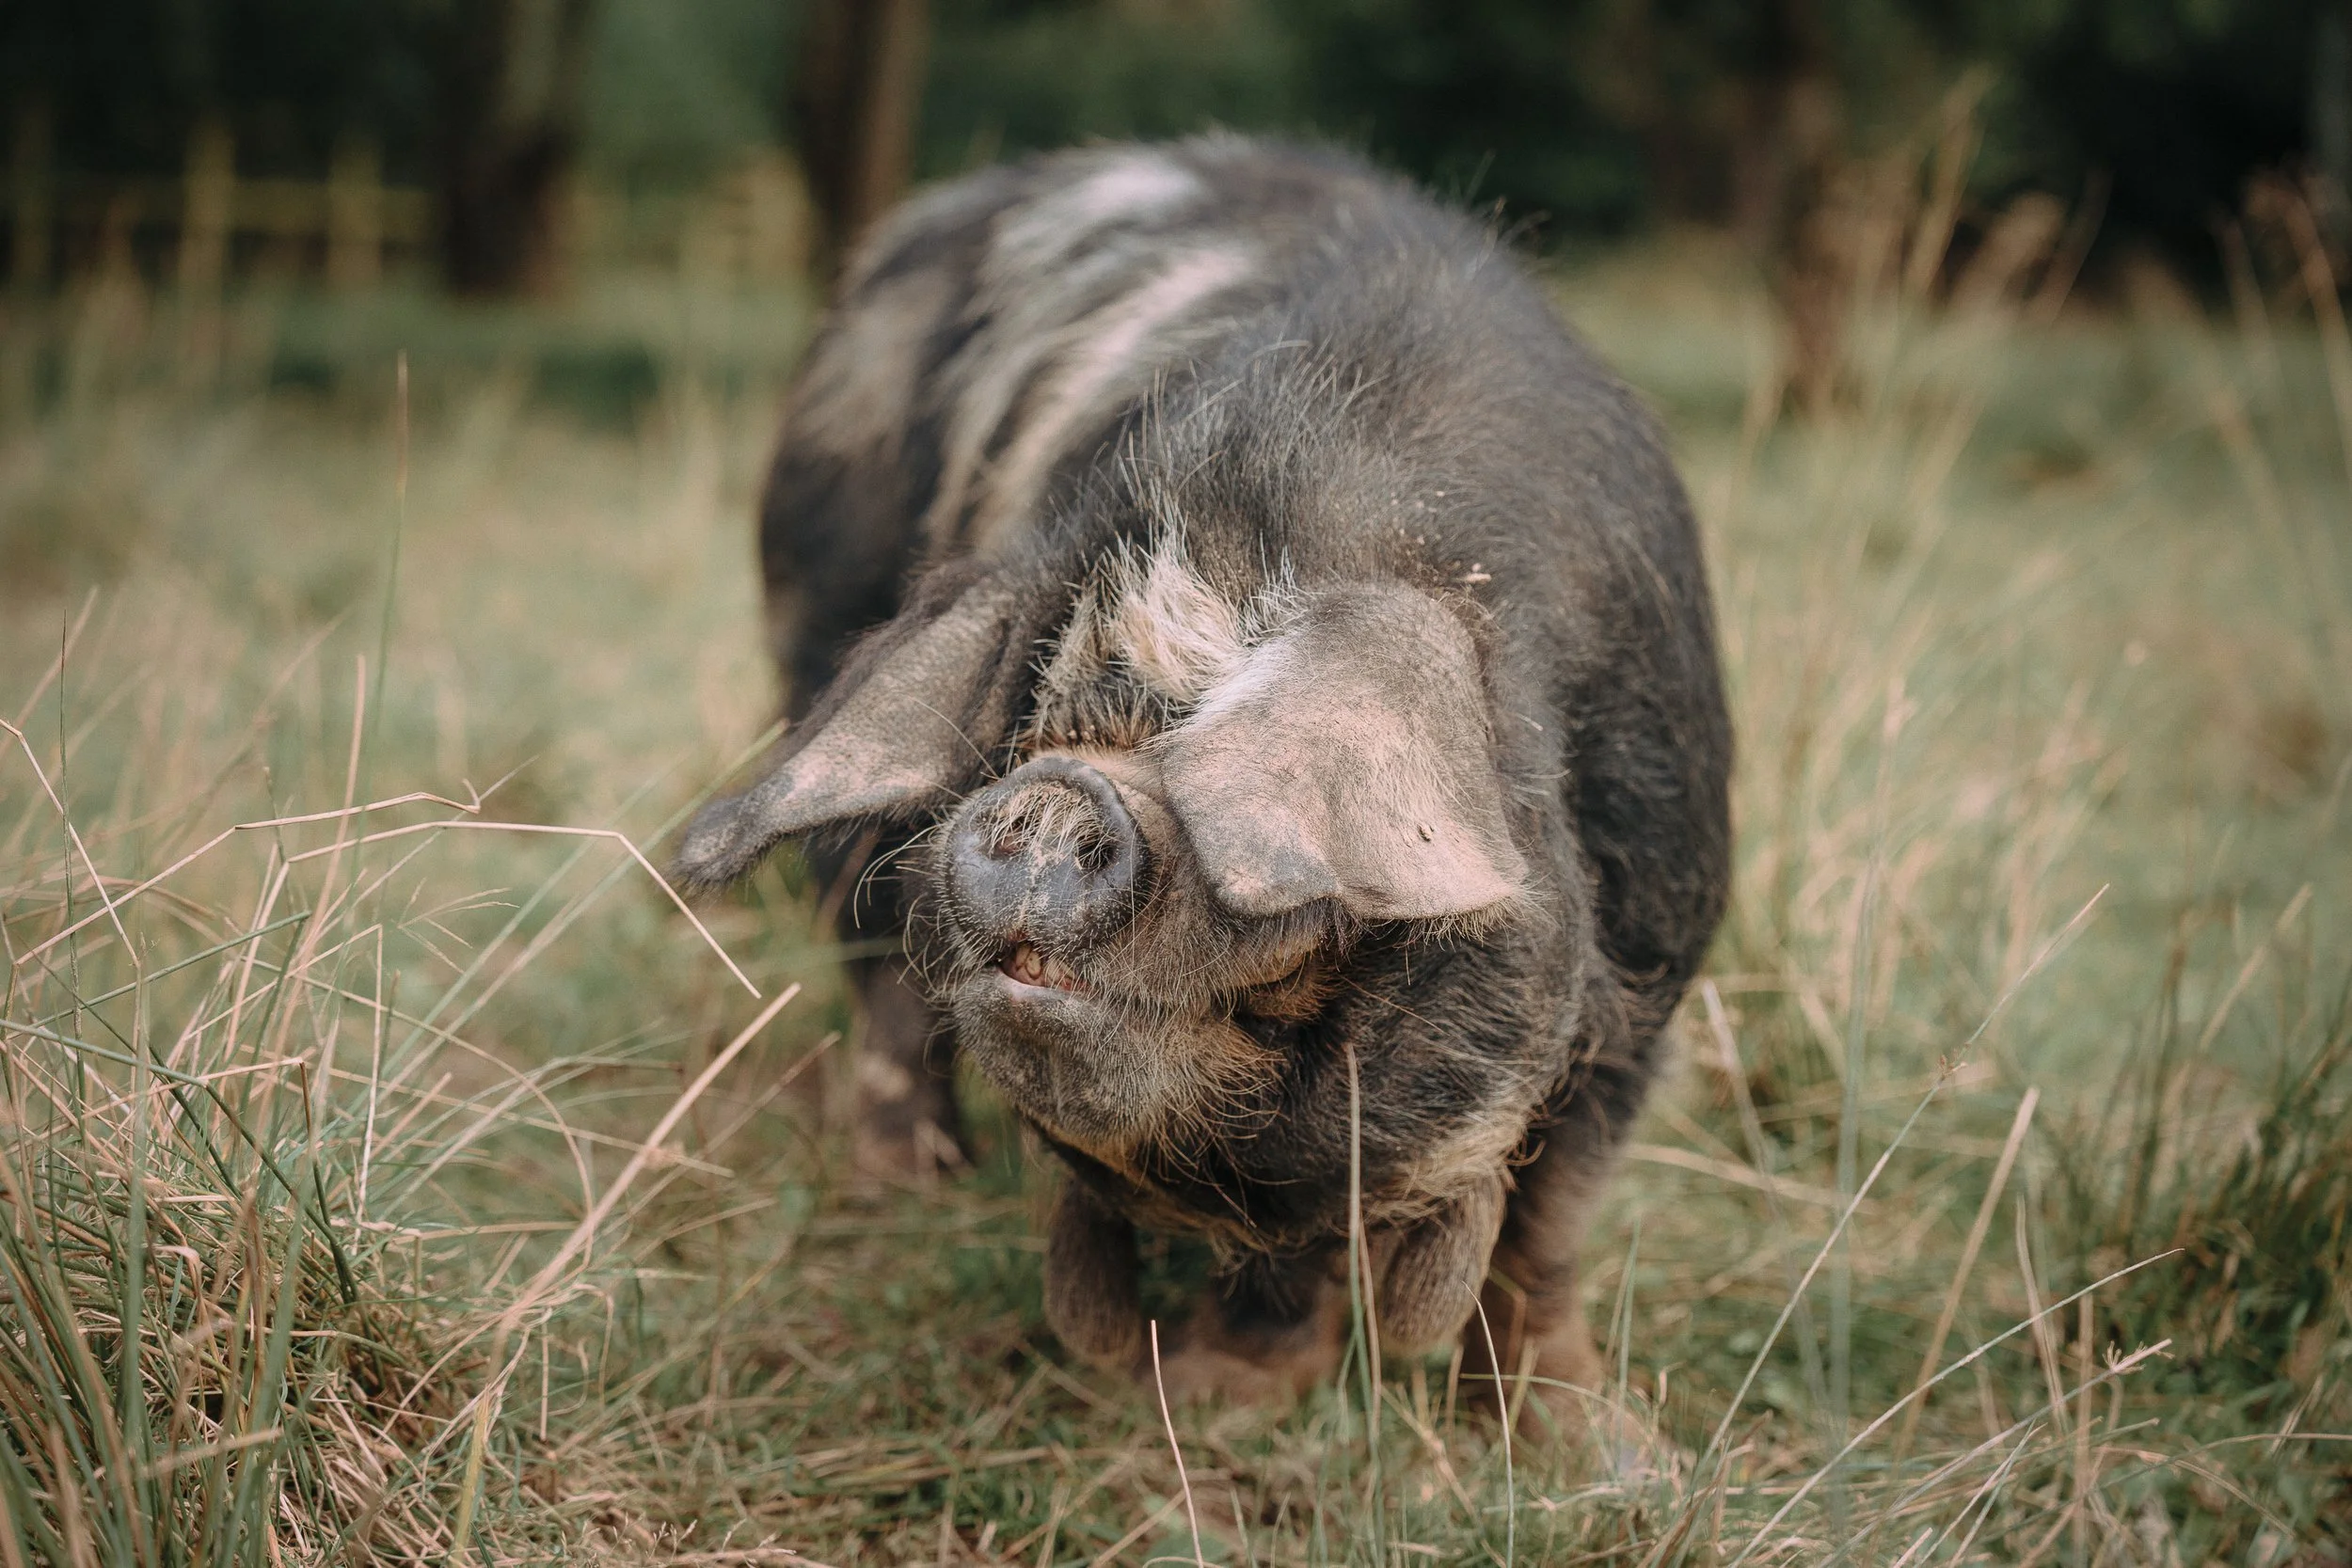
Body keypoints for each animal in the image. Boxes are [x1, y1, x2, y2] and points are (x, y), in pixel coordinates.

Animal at [673, 138, 1730, 1426]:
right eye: (1036, 731)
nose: (1053, 795)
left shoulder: (1656, 954)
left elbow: (1552, 1221)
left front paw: (1574, 1431)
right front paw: (1229, 1398)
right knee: (873, 966)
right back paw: (909, 1187)